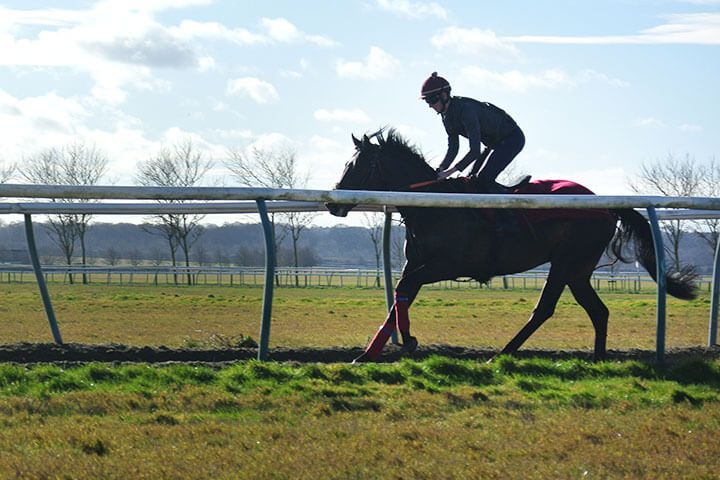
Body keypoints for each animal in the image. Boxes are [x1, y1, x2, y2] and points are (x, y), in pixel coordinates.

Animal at [326, 129, 696, 362]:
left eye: (358, 165)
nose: (333, 203)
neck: (434, 206)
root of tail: (603, 205)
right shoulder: (415, 264)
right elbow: (399, 296)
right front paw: (368, 354)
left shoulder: (444, 266)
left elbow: (404, 289)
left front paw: (408, 342)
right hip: (578, 270)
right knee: (598, 311)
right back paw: (598, 359)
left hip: (567, 261)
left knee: (545, 309)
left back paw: (502, 355)